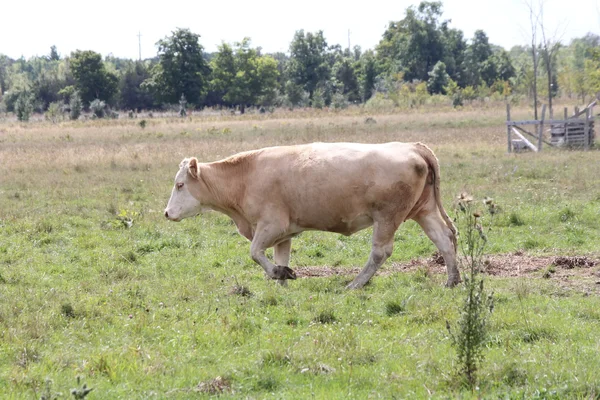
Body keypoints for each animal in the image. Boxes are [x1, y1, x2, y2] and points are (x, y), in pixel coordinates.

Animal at [164, 142, 460, 290]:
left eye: (180, 185)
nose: (166, 213)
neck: (244, 178)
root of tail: (412, 147)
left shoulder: (270, 225)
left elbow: (255, 253)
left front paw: (280, 274)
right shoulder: (283, 234)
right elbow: (279, 257)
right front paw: (281, 278)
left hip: (387, 217)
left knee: (380, 252)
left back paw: (355, 284)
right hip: (424, 210)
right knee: (444, 239)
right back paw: (452, 280)